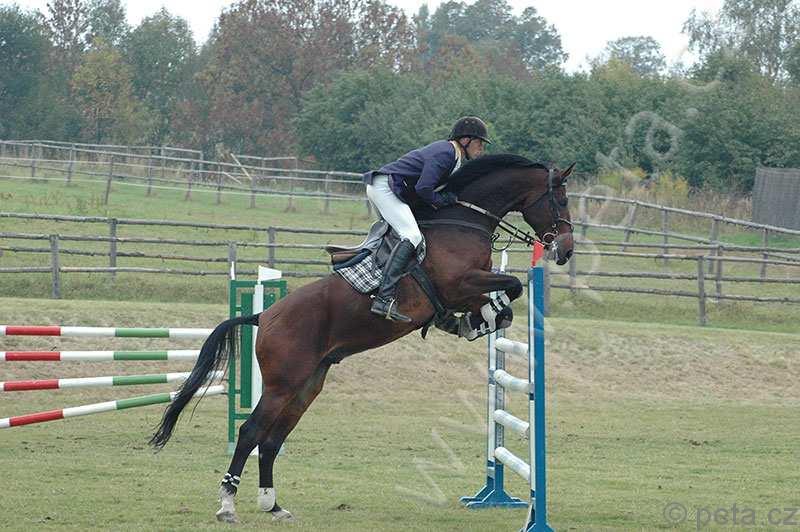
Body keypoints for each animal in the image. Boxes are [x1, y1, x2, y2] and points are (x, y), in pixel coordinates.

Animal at [149, 154, 575, 523]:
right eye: (562, 199)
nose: (566, 251)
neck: (464, 221)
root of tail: (264, 316)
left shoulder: (469, 288)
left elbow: (503, 297)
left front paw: (477, 321)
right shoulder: (459, 284)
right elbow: (512, 285)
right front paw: (483, 317)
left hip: (307, 386)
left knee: (271, 441)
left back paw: (274, 506)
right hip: (282, 384)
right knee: (251, 433)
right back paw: (227, 505)